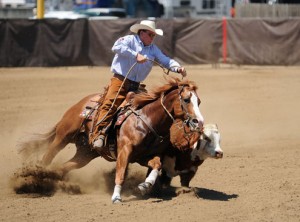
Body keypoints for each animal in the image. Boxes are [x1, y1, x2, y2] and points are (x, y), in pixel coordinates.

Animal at [19, 76, 204, 203]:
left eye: (199, 101)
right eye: (186, 99)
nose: (199, 122)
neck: (148, 120)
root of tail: (82, 102)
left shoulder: (142, 157)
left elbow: (156, 165)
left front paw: (144, 186)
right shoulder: (124, 151)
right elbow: (120, 173)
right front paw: (116, 197)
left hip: (85, 154)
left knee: (64, 167)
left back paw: (48, 176)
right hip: (63, 135)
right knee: (49, 154)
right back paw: (35, 175)